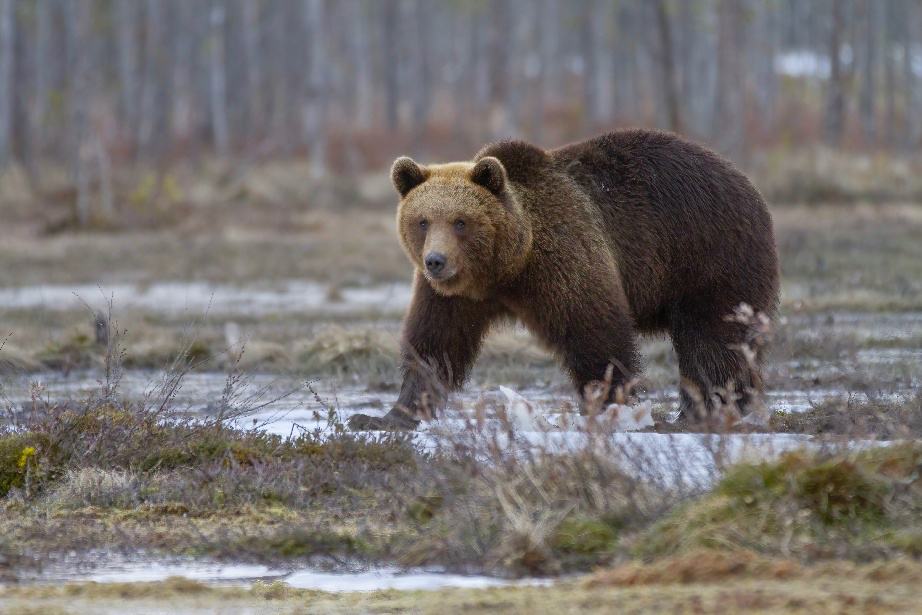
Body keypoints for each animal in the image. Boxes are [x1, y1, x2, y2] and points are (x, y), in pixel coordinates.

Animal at [348, 129, 780, 434]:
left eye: (460, 221)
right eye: (422, 220)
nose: (436, 261)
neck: (505, 269)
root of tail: (744, 179)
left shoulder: (562, 260)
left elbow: (594, 332)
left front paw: (611, 407)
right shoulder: (455, 296)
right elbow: (435, 345)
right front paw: (387, 415)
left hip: (707, 254)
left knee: (711, 335)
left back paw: (707, 409)